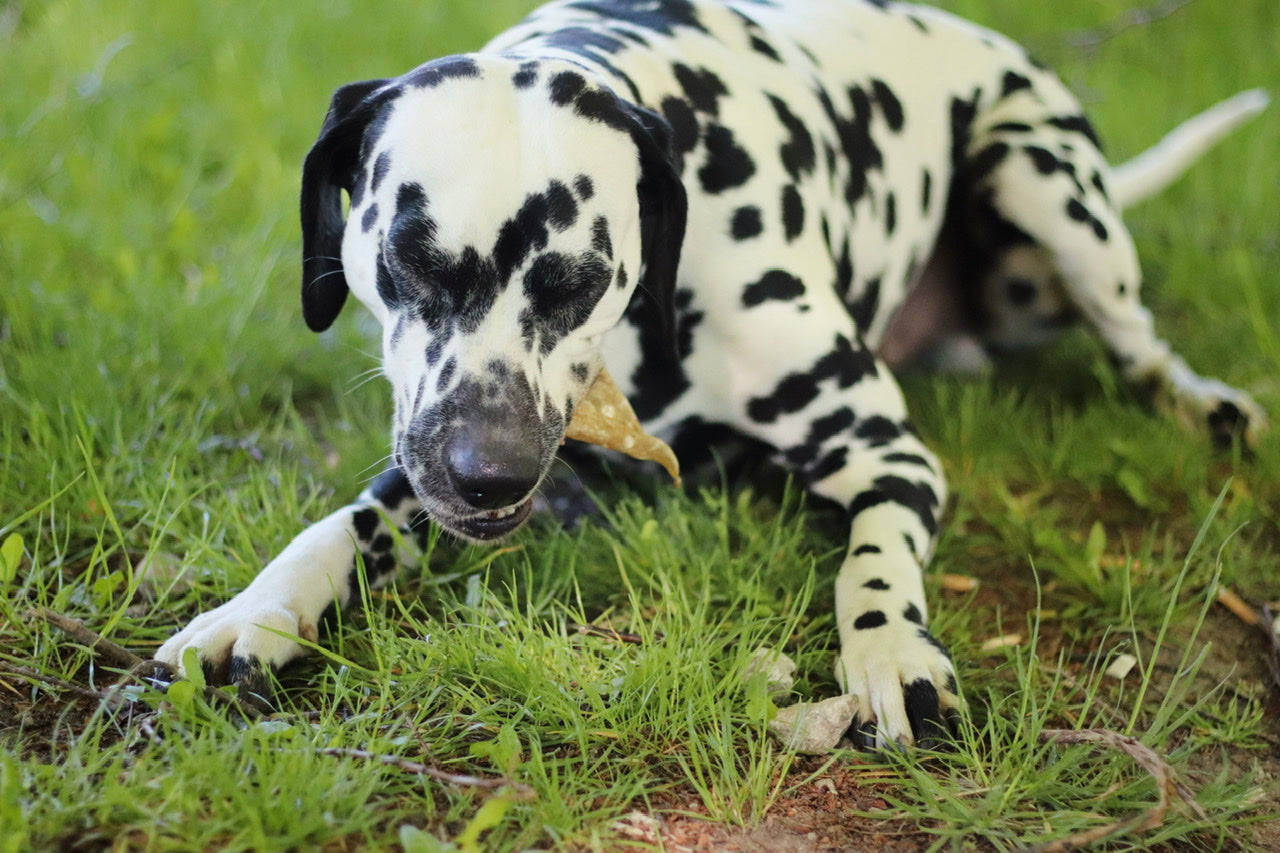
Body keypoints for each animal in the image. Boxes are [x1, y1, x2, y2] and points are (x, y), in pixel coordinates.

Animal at [154, 0, 1264, 742]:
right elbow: (341, 525)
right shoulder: (425, 460)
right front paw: (253, 611)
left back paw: (1202, 403)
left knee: (1137, 340)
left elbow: (872, 559)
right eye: (405, 257)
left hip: (1045, 186)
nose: (489, 474)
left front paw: (889, 650)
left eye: (581, 277)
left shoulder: (886, 452)